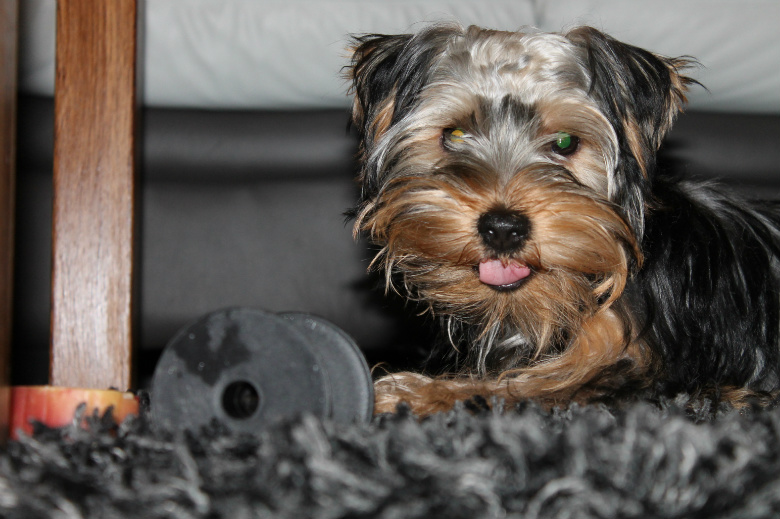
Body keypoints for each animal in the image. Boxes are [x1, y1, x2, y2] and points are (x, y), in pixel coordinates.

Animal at [346, 24, 780, 415]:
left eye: (566, 143)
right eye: (453, 135)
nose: (503, 228)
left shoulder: (654, 370)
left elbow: (537, 386)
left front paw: (410, 394)